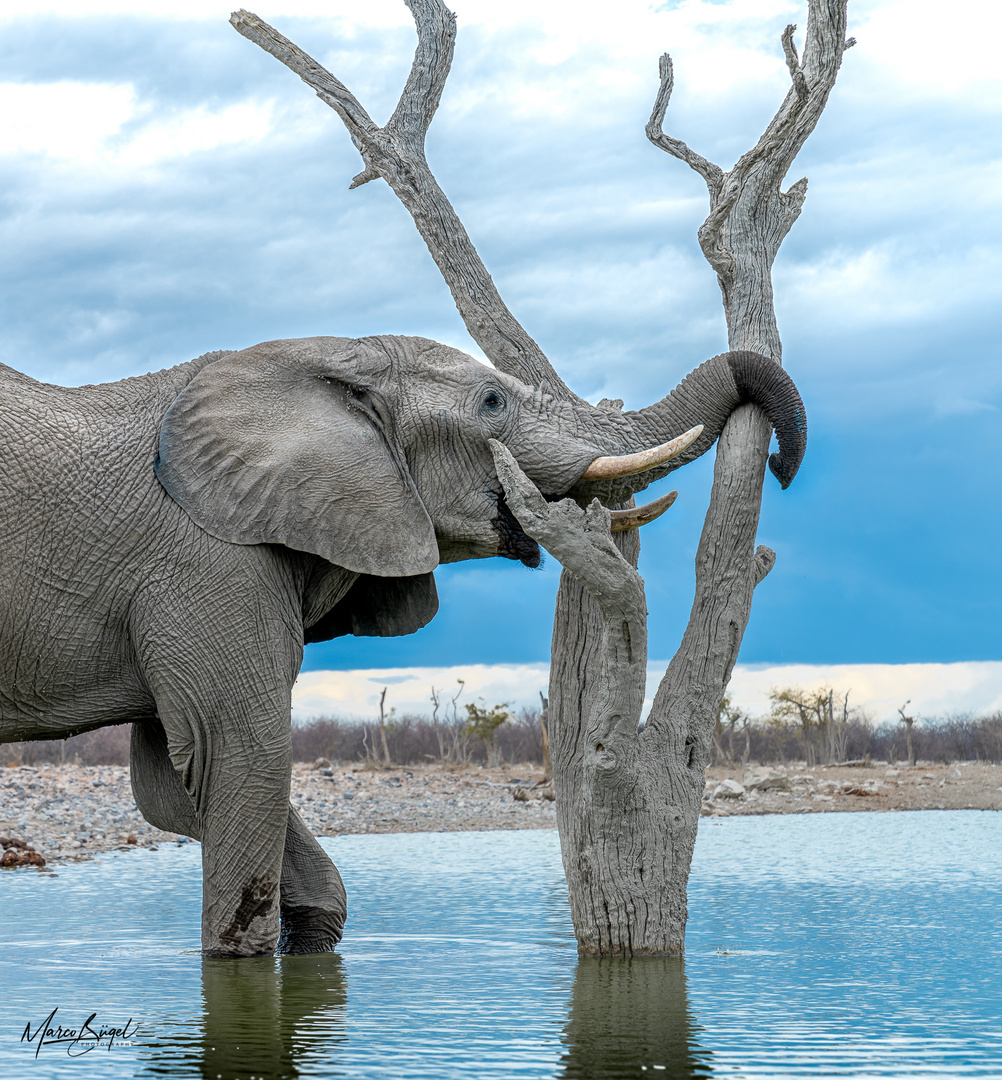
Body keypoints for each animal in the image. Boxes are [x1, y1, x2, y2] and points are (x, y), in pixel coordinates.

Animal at [0, 334, 803, 954]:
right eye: (491, 403)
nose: (783, 465)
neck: (314, 363)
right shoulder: (209, 560)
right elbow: (237, 755)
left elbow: (171, 786)